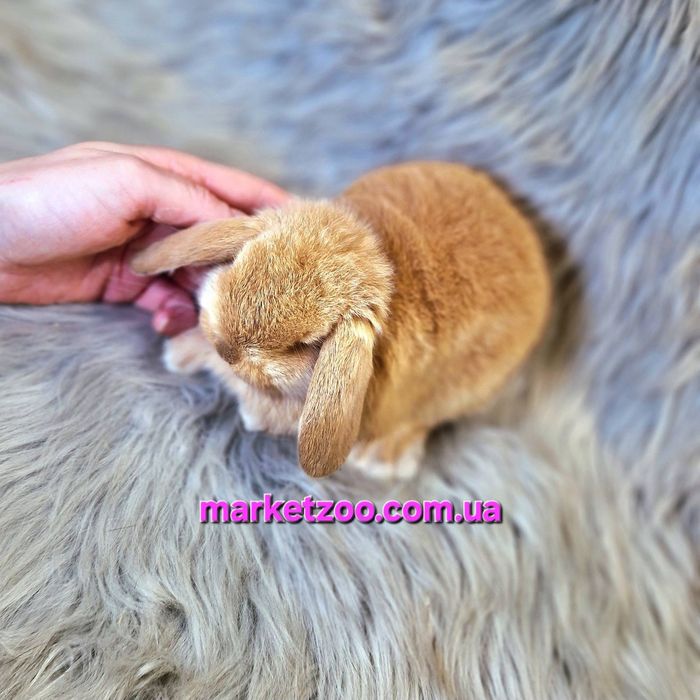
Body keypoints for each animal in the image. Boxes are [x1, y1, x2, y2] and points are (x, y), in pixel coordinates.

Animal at [131, 161, 550, 479]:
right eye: (239, 262)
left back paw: (382, 460)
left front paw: (249, 413)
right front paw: (181, 352)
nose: (227, 351)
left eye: (304, 344)